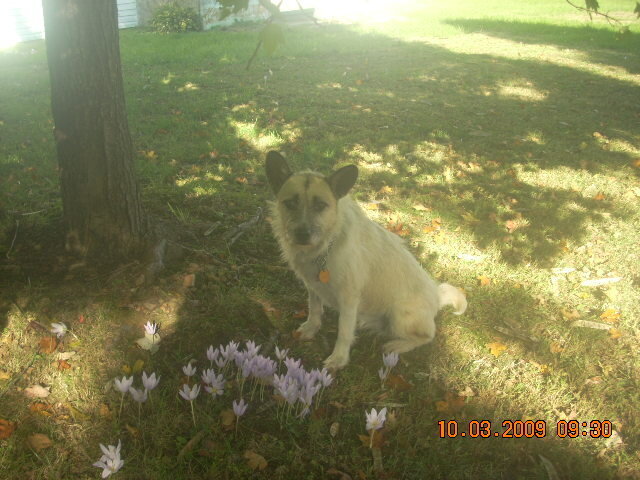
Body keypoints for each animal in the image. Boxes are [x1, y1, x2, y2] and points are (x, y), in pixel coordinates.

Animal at [264, 152, 464, 370]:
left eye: (320, 205)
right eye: (290, 203)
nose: (302, 234)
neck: (327, 245)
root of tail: (437, 296)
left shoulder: (349, 298)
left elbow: (344, 332)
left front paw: (339, 359)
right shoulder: (313, 287)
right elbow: (314, 309)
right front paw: (311, 328)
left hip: (399, 315)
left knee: (427, 336)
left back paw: (397, 345)